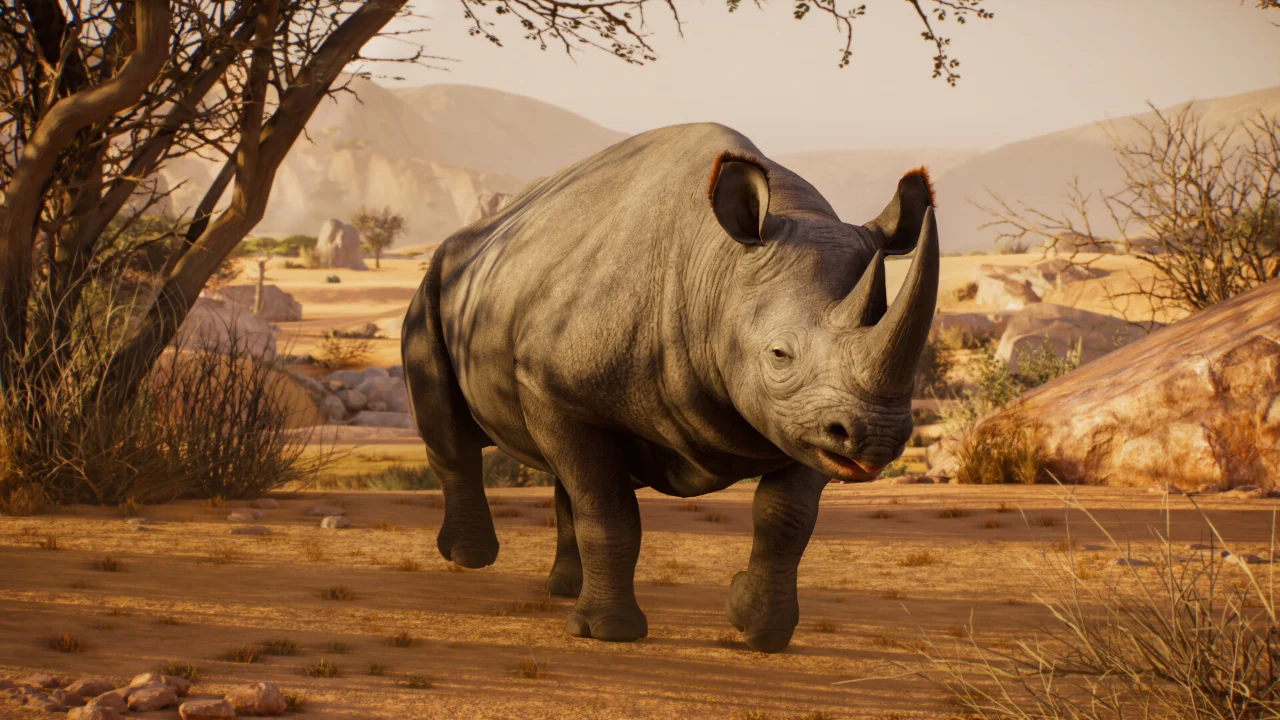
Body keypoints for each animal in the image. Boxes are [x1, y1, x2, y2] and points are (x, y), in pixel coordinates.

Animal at [402, 123, 938, 653]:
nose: (879, 439)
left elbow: (786, 519)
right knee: (452, 430)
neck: (721, 270)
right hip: (437, 281)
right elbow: (608, 508)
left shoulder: (810, 423)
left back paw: (563, 590)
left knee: (566, 475)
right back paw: (470, 557)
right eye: (779, 354)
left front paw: (759, 630)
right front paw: (609, 632)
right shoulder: (547, 383)